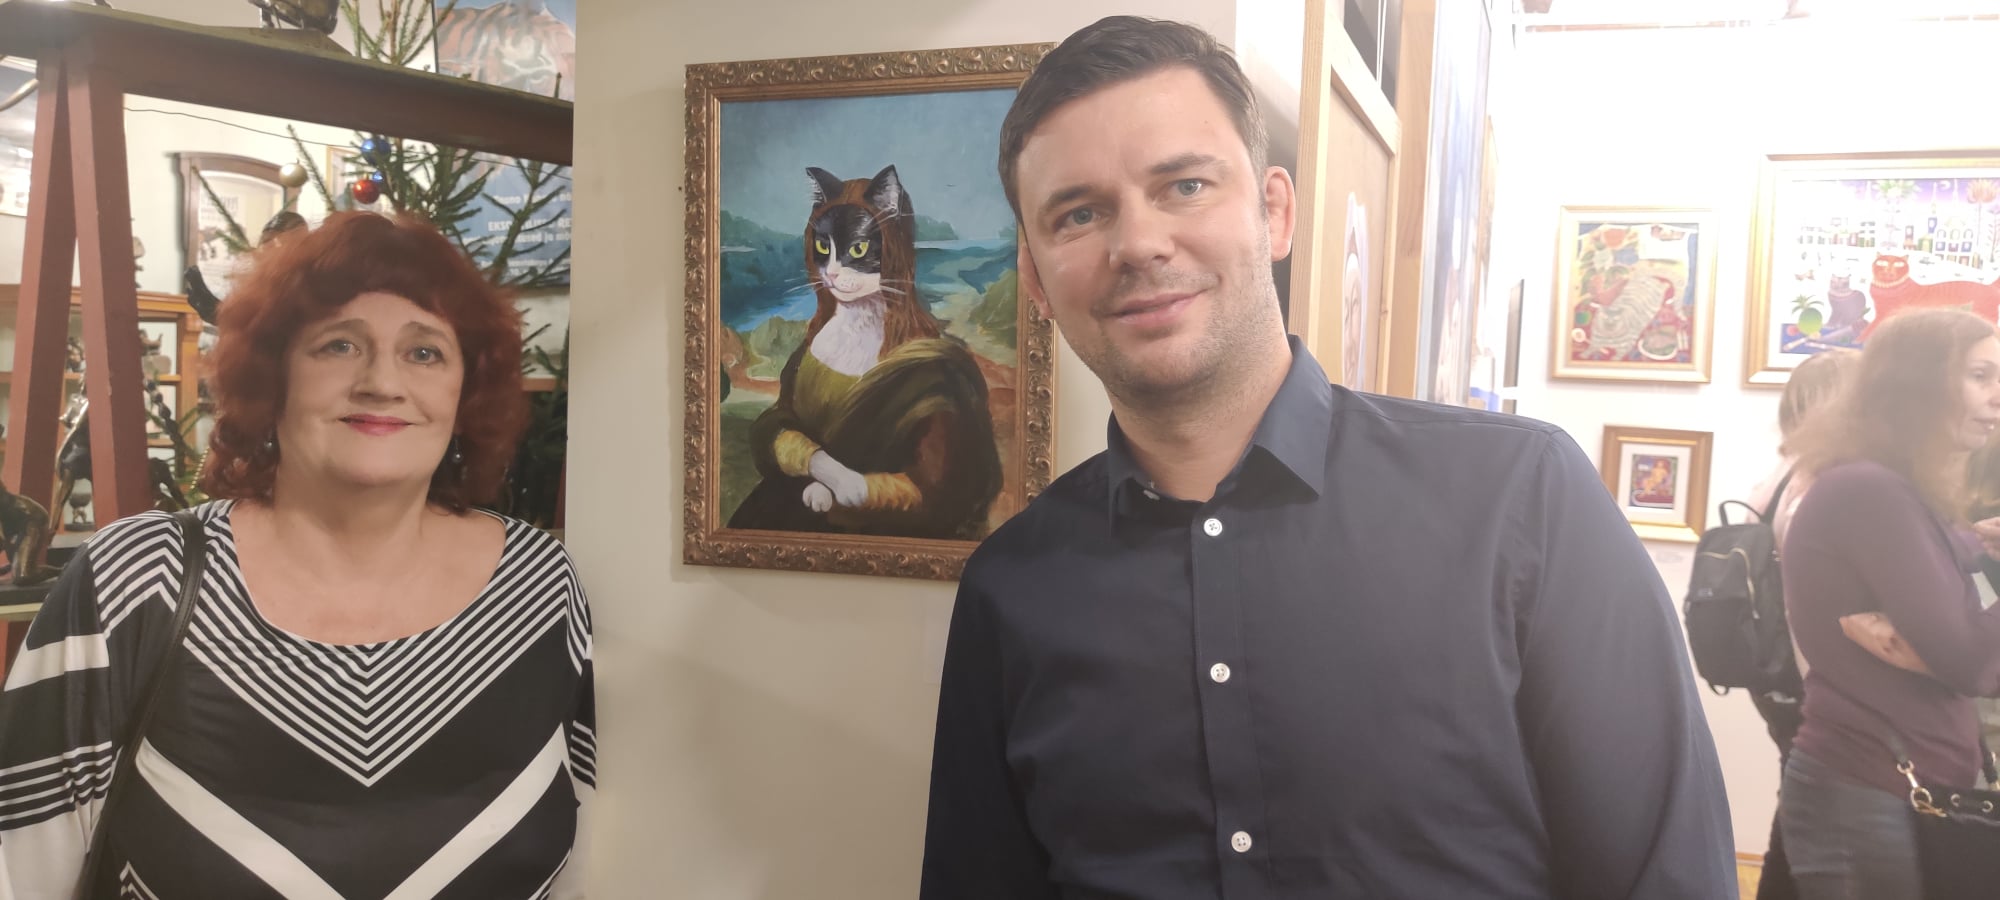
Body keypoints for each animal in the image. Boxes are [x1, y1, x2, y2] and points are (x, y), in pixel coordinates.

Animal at [1862, 254, 2000, 340]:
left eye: (1898, 265)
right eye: (1882, 262)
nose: (1889, 270)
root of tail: (1990, 285)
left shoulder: (1885, 313)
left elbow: (1870, 329)